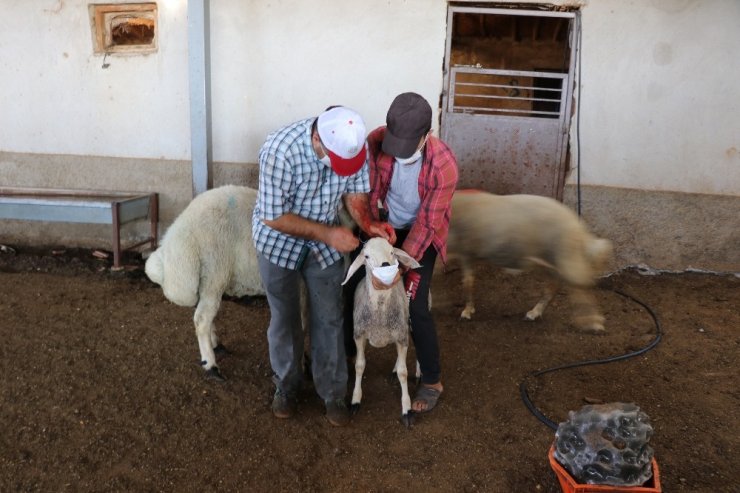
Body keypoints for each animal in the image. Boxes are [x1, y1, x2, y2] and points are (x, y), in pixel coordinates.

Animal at [342, 236, 420, 424]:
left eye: (392, 252)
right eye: (367, 256)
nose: (385, 265)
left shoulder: (401, 336)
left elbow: (403, 373)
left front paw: (406, 408)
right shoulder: (359, 335)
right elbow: (359, 366)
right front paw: (355, 400)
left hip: (410, 322)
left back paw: (419, 374)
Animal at [446, 190, 612, 332]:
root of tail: (578, 226)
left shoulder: (464, 251)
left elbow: (467, 282)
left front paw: (466, 311)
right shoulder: (465, 253)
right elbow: (467, 280)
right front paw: (469, 309)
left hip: (565, 256)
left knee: (581, 284)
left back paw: (593, 322)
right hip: (551, 260)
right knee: (555, 285)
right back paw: (535, 313)